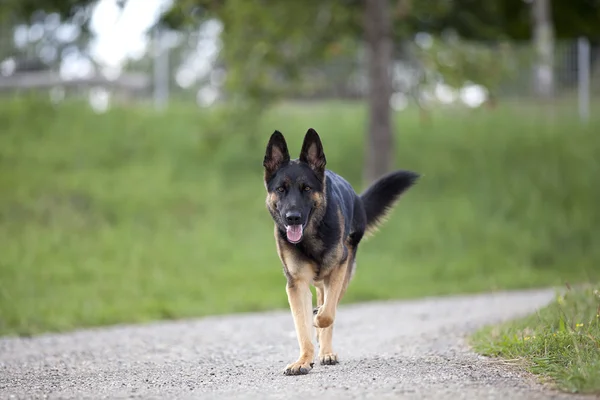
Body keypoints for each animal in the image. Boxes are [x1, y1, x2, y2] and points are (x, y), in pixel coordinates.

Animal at [262, 127, 418, 376]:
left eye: (307, 188)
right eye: (281, 189)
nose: (292, 217)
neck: (311, 235)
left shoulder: (338, 270)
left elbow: (327, 315)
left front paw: (318, 323)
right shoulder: (296, 284)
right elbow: (302, 327)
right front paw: (303, 360)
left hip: (343, 274)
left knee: (329, 307)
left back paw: (327, 351)